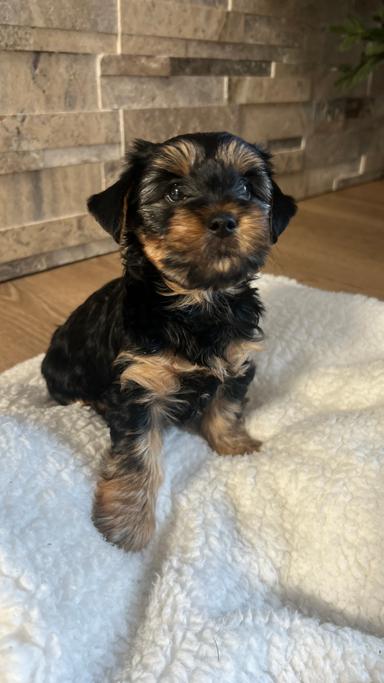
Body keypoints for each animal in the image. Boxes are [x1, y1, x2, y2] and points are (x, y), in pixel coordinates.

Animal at [41, 132, 296, 552]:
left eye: (246, 188)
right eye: (175, 192)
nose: (224, 219)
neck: (197, 301)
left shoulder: (235, 361)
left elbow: (226, 407)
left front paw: (233, 445)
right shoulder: (139, 386)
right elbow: (138, 458)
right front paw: (126, 527)